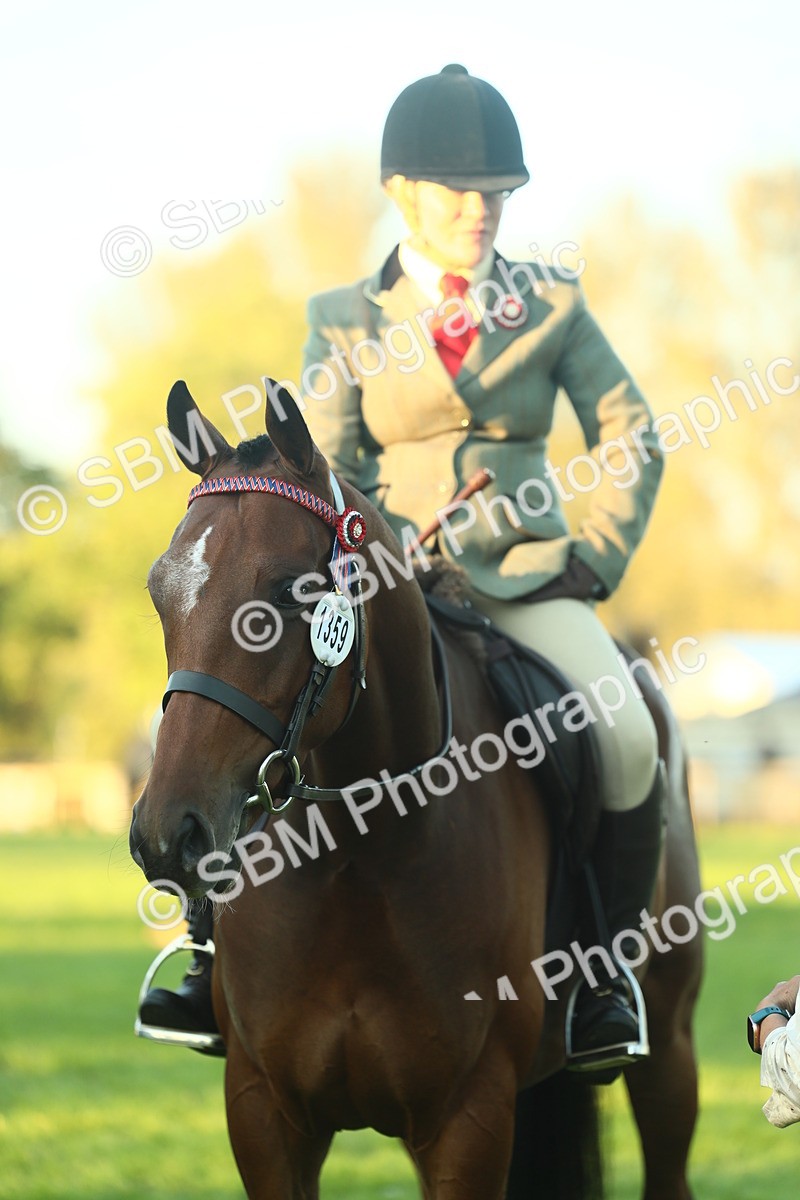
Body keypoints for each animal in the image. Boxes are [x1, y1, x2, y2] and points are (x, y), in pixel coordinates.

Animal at [130, 378, 703, 1199]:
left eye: (292, 591)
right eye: (159, 590)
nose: (165, 835)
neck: (356, 858)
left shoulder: (469, 1116)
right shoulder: (264, 1111)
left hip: (671, 1048)